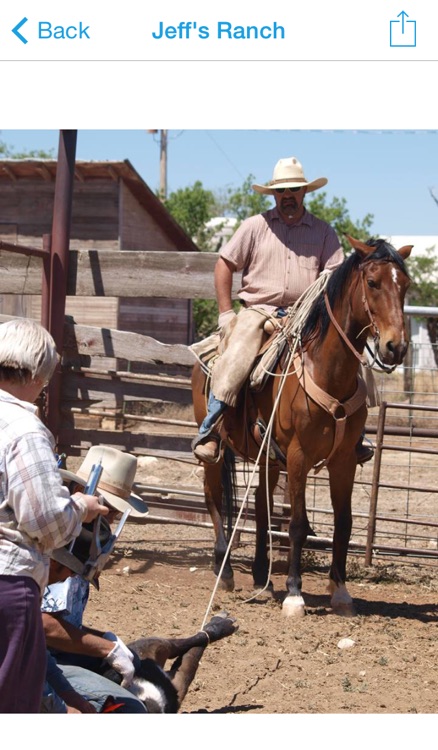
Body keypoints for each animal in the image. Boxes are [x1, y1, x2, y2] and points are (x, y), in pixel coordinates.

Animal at [191, 238, 410, 620]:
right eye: (372, 283)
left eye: (406, 286)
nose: (395, 347)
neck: (327, 370)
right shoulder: (297, 456)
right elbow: (296, 525)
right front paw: (295, 595)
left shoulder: (343, 461)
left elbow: (343, 523)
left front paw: (340, 592)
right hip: (217, 453)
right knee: (213, 498)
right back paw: (226, 570)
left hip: (267, 457)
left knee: (261, 507)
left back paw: (262, 578)